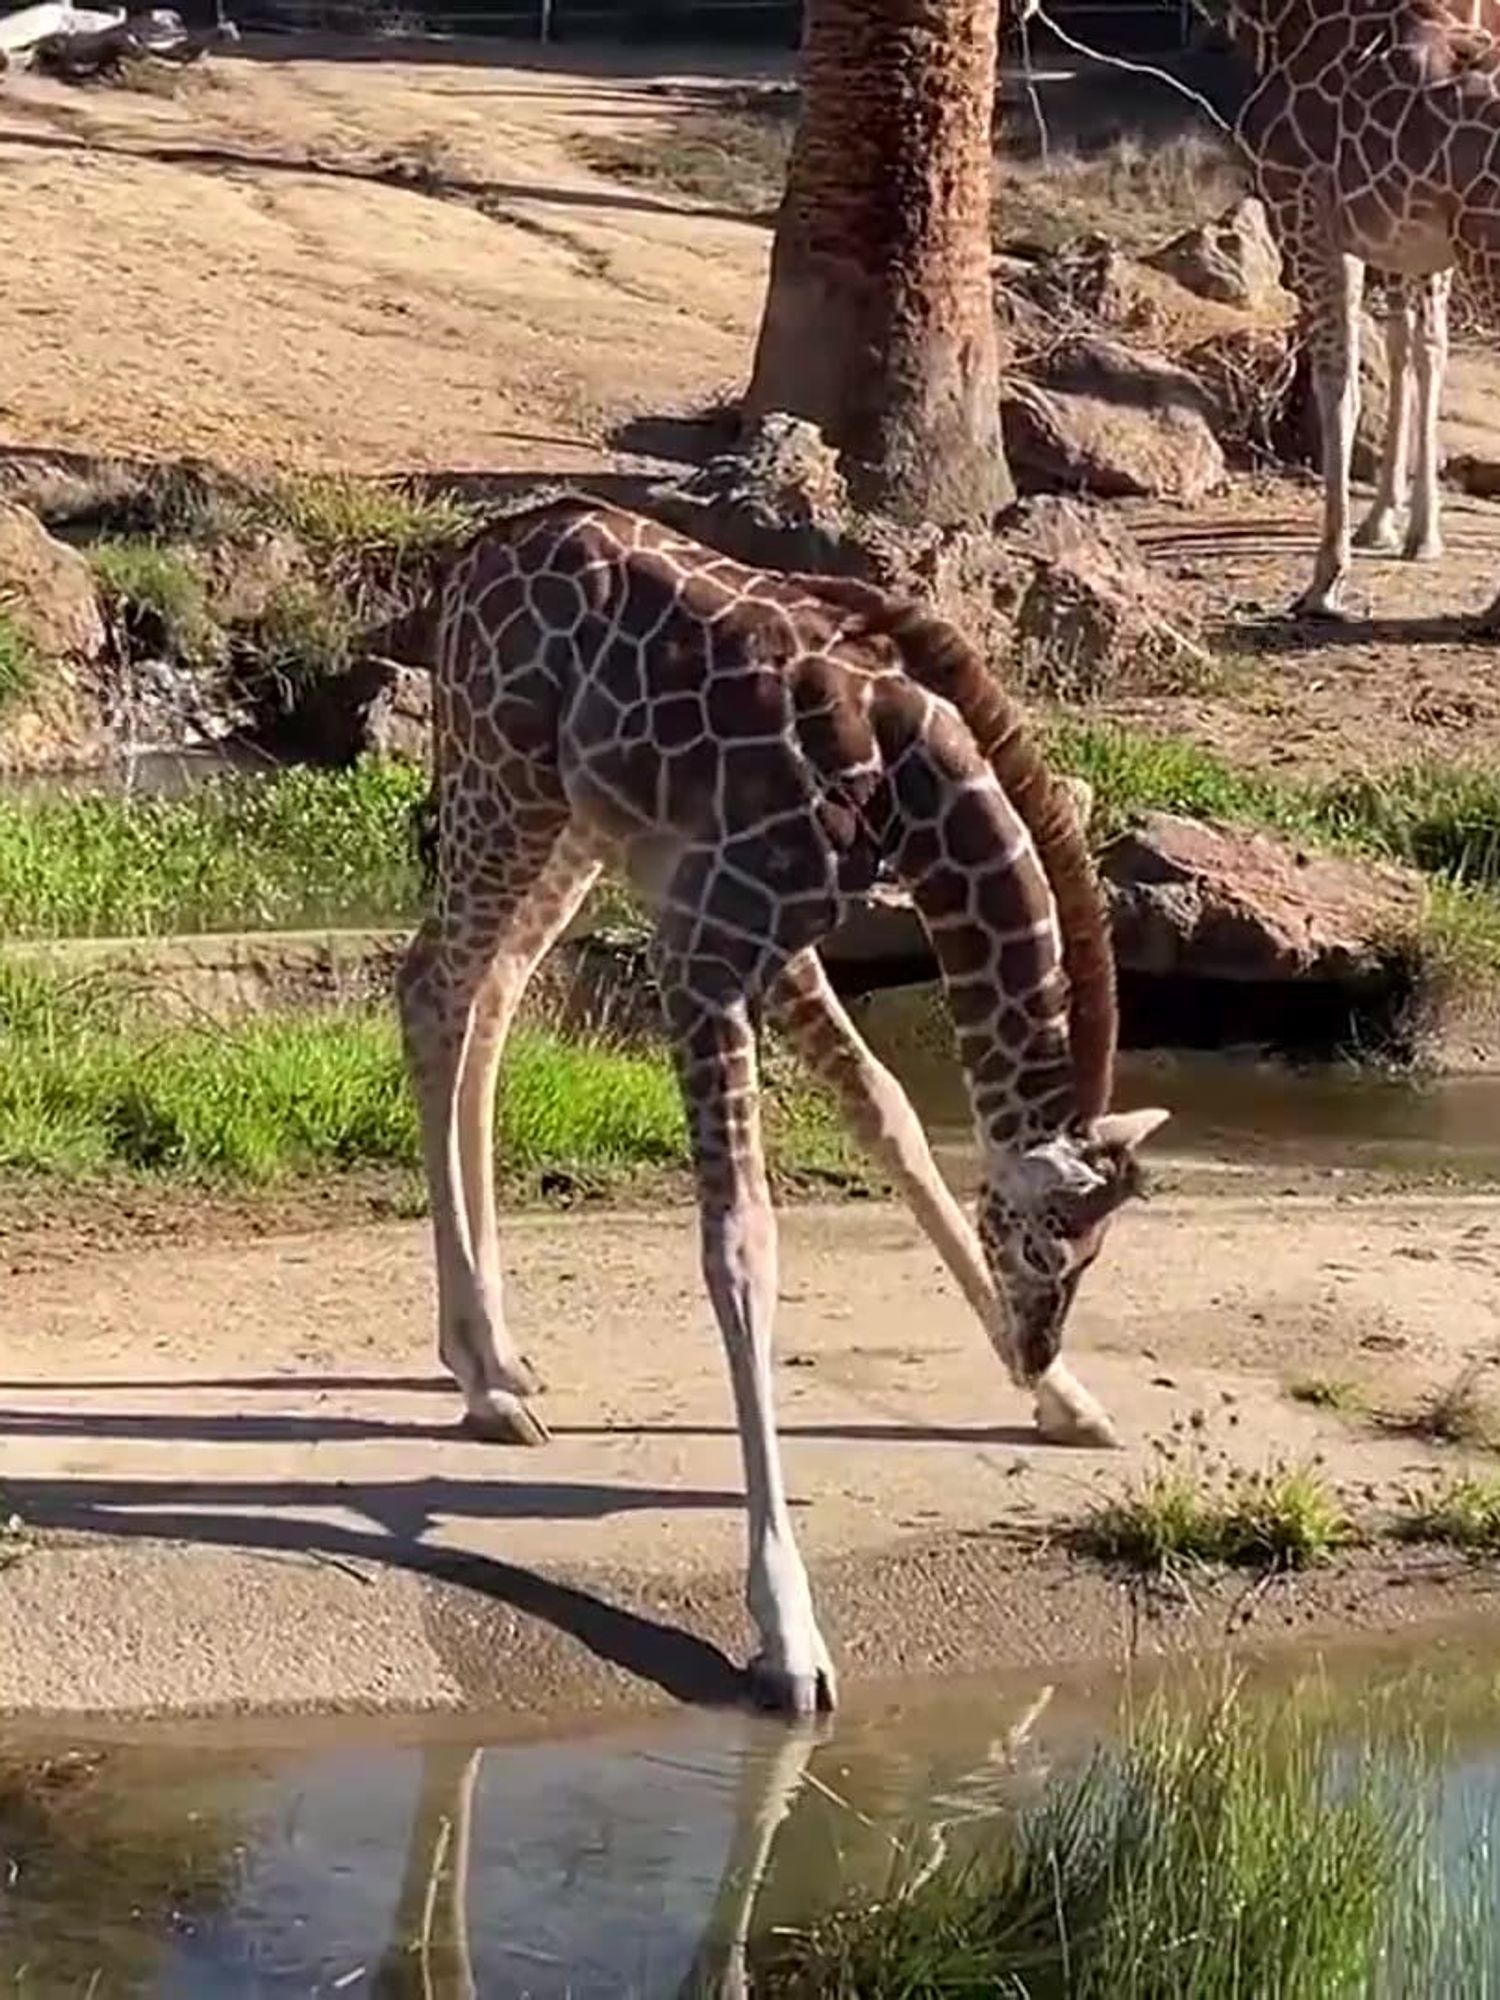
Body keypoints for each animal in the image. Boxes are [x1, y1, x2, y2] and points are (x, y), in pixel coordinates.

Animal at [396, 496, 1169, 1719]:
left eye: (1093, 1255)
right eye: (1046, 1244)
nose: (1037, 1337)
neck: (904, 782)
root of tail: (476, 554)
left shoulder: (762, 931)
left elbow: (891, 1110)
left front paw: (1063, 1396)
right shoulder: (707, 949)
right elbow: (743, 1243)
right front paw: (786, 1631)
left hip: (579, 824)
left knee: (493, 995)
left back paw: (497, 1356)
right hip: (503, 784)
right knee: (432, 989)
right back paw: (483, 1385)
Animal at [1221, 0, 1500, 619]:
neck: (1279, 22)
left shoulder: (1307, 218)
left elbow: (1338, 385)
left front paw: (1326, 580)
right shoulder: (1400, 242)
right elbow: (1411, 352)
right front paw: (1403, 531)